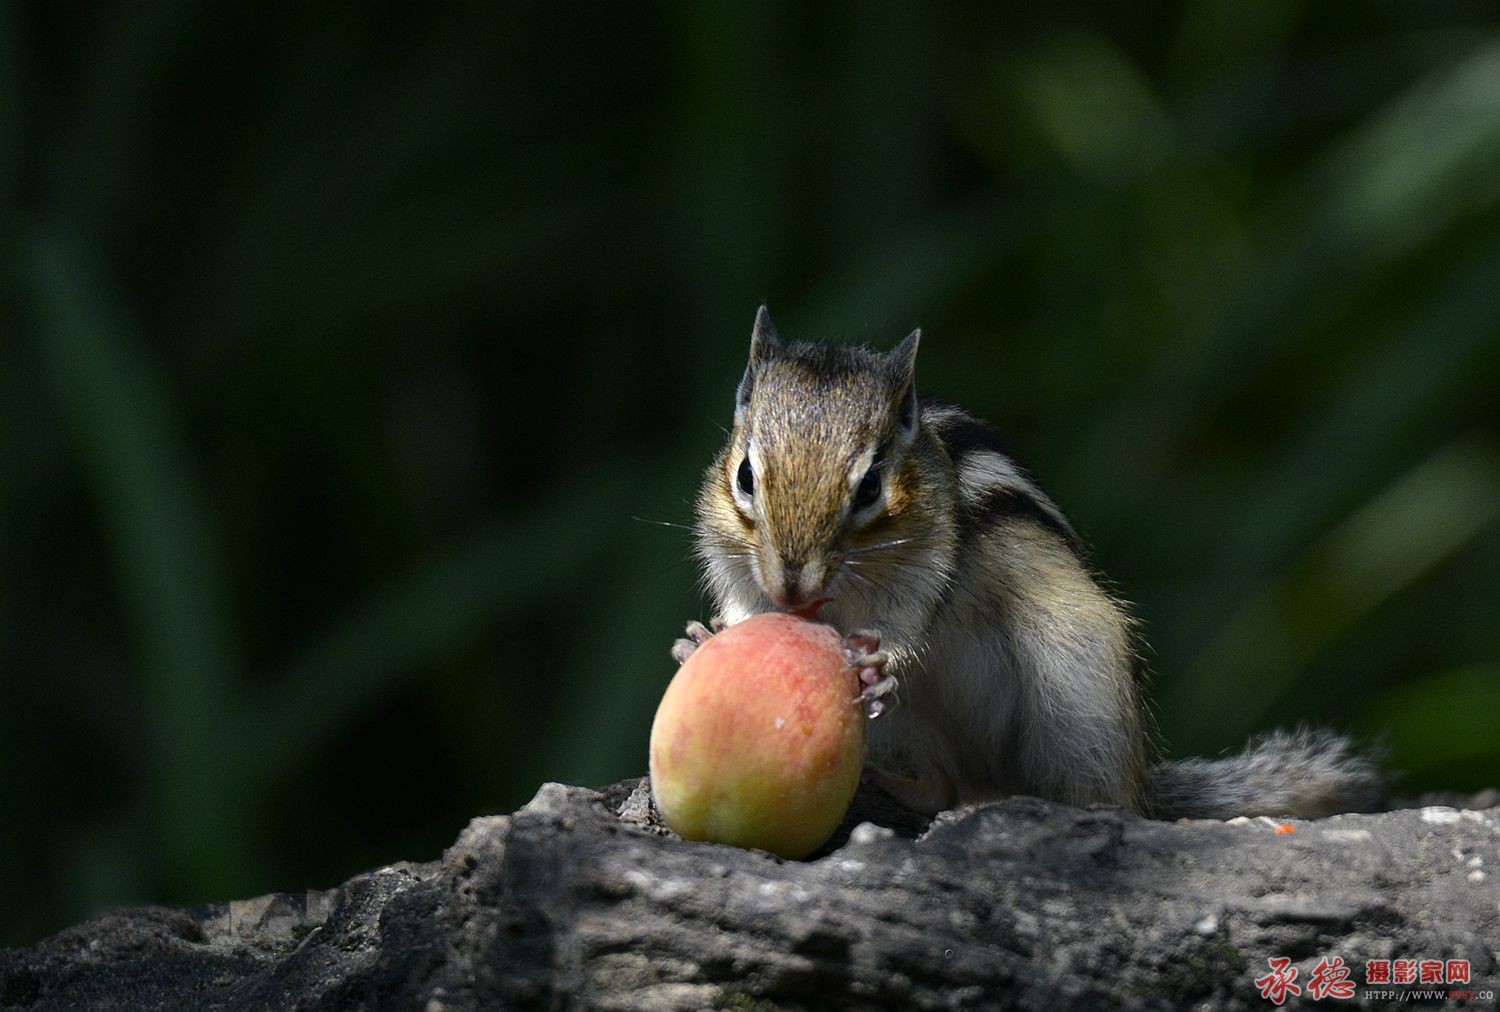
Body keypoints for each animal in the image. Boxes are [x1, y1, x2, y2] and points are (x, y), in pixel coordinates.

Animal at [671, 305, 1383, 820]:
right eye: (744, 476)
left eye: (870, 487)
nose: (791, 590)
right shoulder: (731, 557)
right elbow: (739, 602)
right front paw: (702, 640)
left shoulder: (932, 560)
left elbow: (913, 624)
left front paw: (880, 666)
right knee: (941, 784)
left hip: (1077, 680)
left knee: (1088, 797)